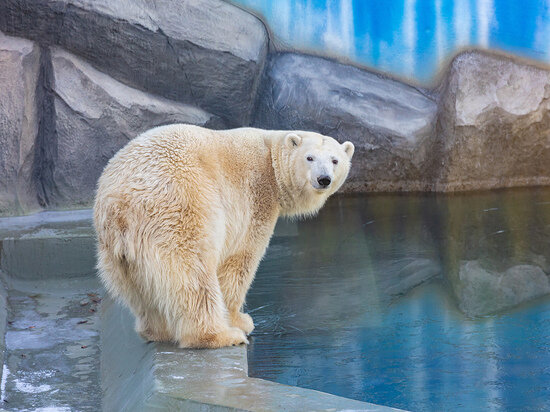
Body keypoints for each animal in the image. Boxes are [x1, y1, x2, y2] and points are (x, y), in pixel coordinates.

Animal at [93, 124, 356, 348]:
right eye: (309, 157)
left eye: (335, 160)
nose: (323, 179)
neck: (270, 159)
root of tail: (119, 200)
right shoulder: (254, 197)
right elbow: (240, 260)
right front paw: (240, 320)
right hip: (178, 206)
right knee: (192, 272)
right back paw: (219, 335)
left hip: (114, 247)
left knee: (136, 286)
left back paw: (157, 331)